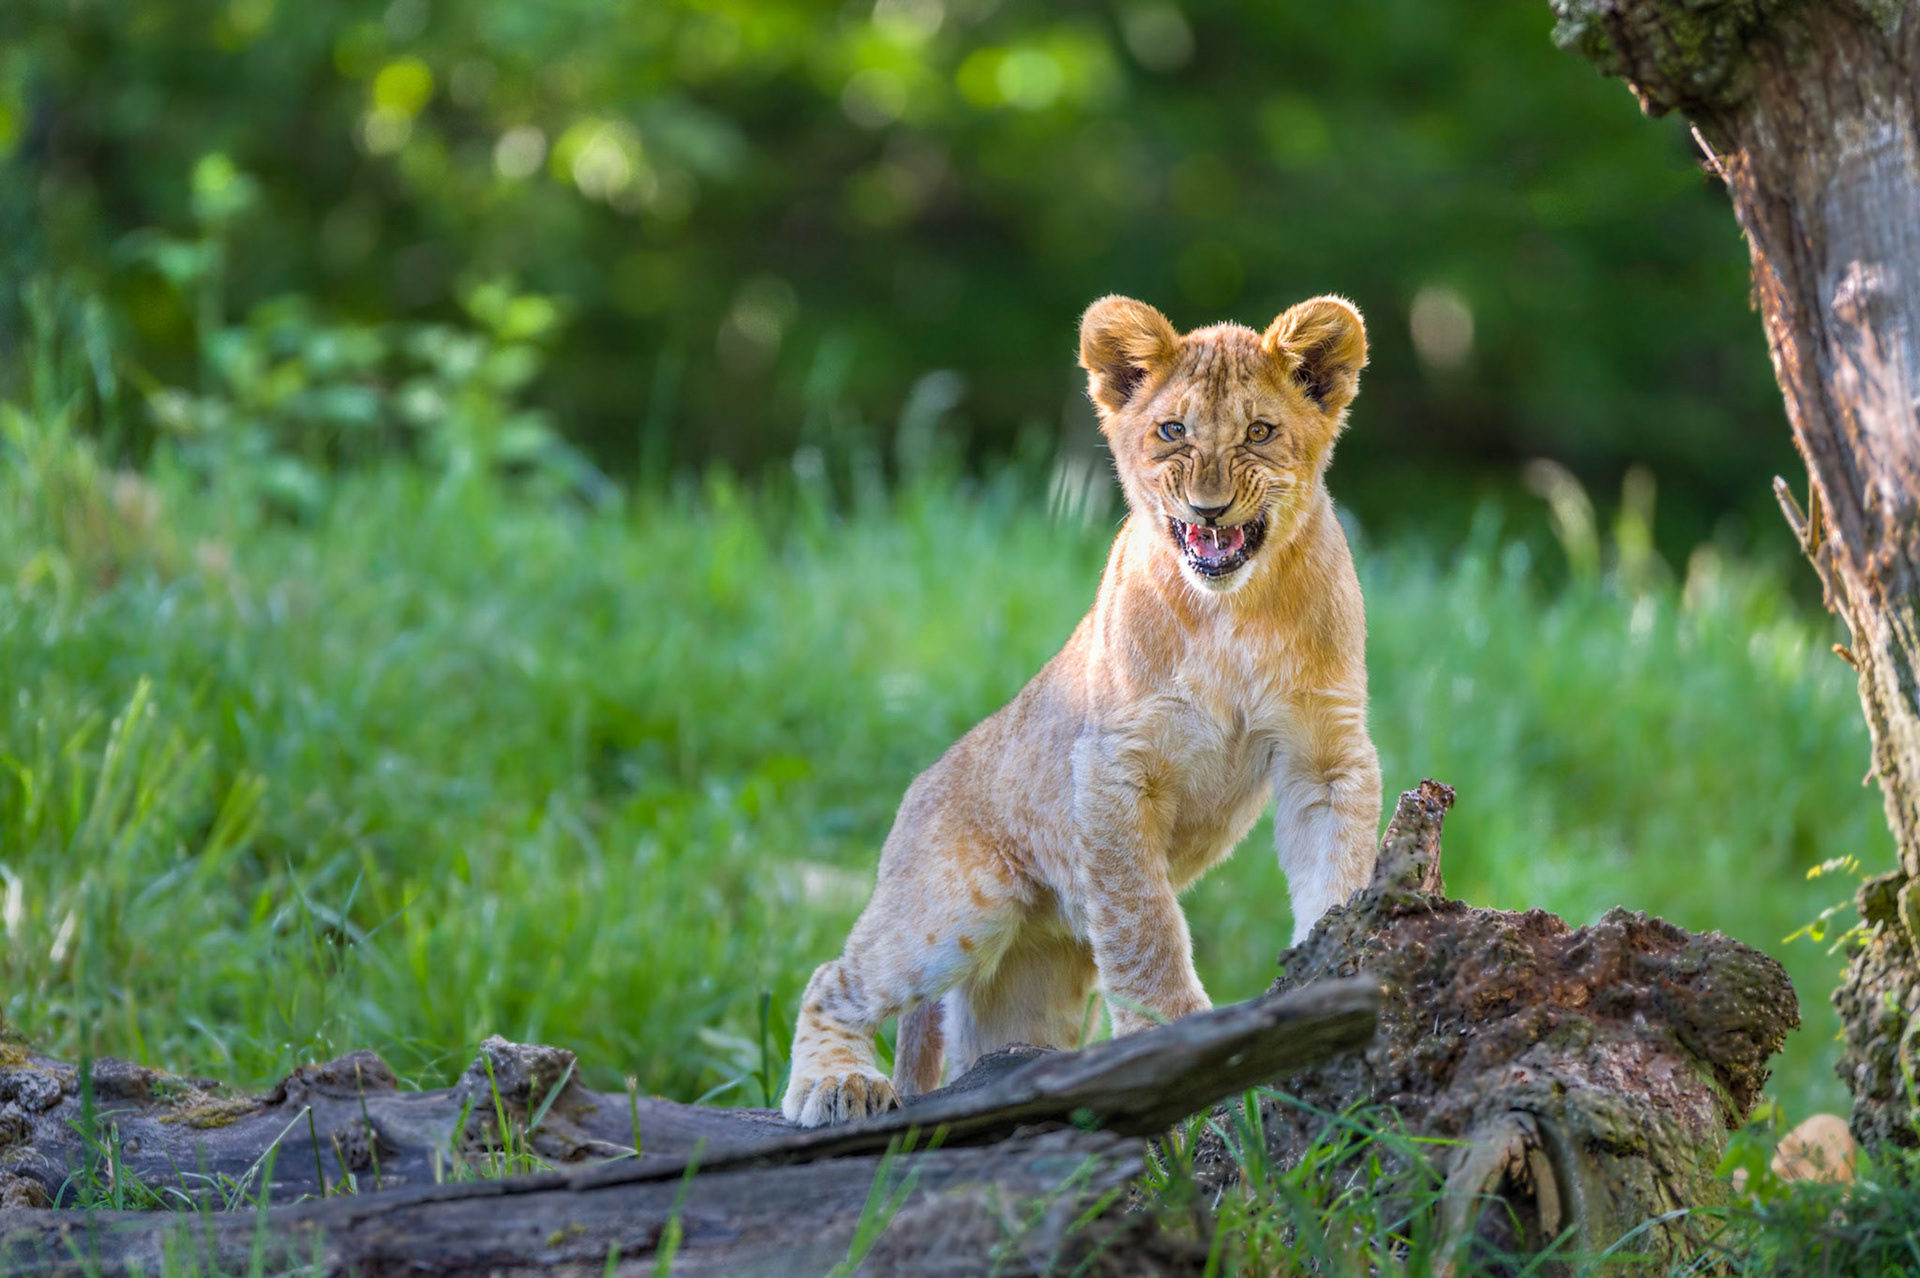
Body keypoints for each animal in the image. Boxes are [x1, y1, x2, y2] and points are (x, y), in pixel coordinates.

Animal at [781, 293, 1383, 1126]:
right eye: (1173, 431)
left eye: (1259, 432)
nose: (1209, 508)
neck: (1235, 611)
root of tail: (919, 786)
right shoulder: (1111, 765)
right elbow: (1144, 924)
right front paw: (1185, 1038)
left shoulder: (1324, 750)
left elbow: (1338, 866)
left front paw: (1335, 967)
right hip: (956, 904)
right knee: (832, 978)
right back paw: (837, 1084)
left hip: (1030, 983)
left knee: (983, 1051)